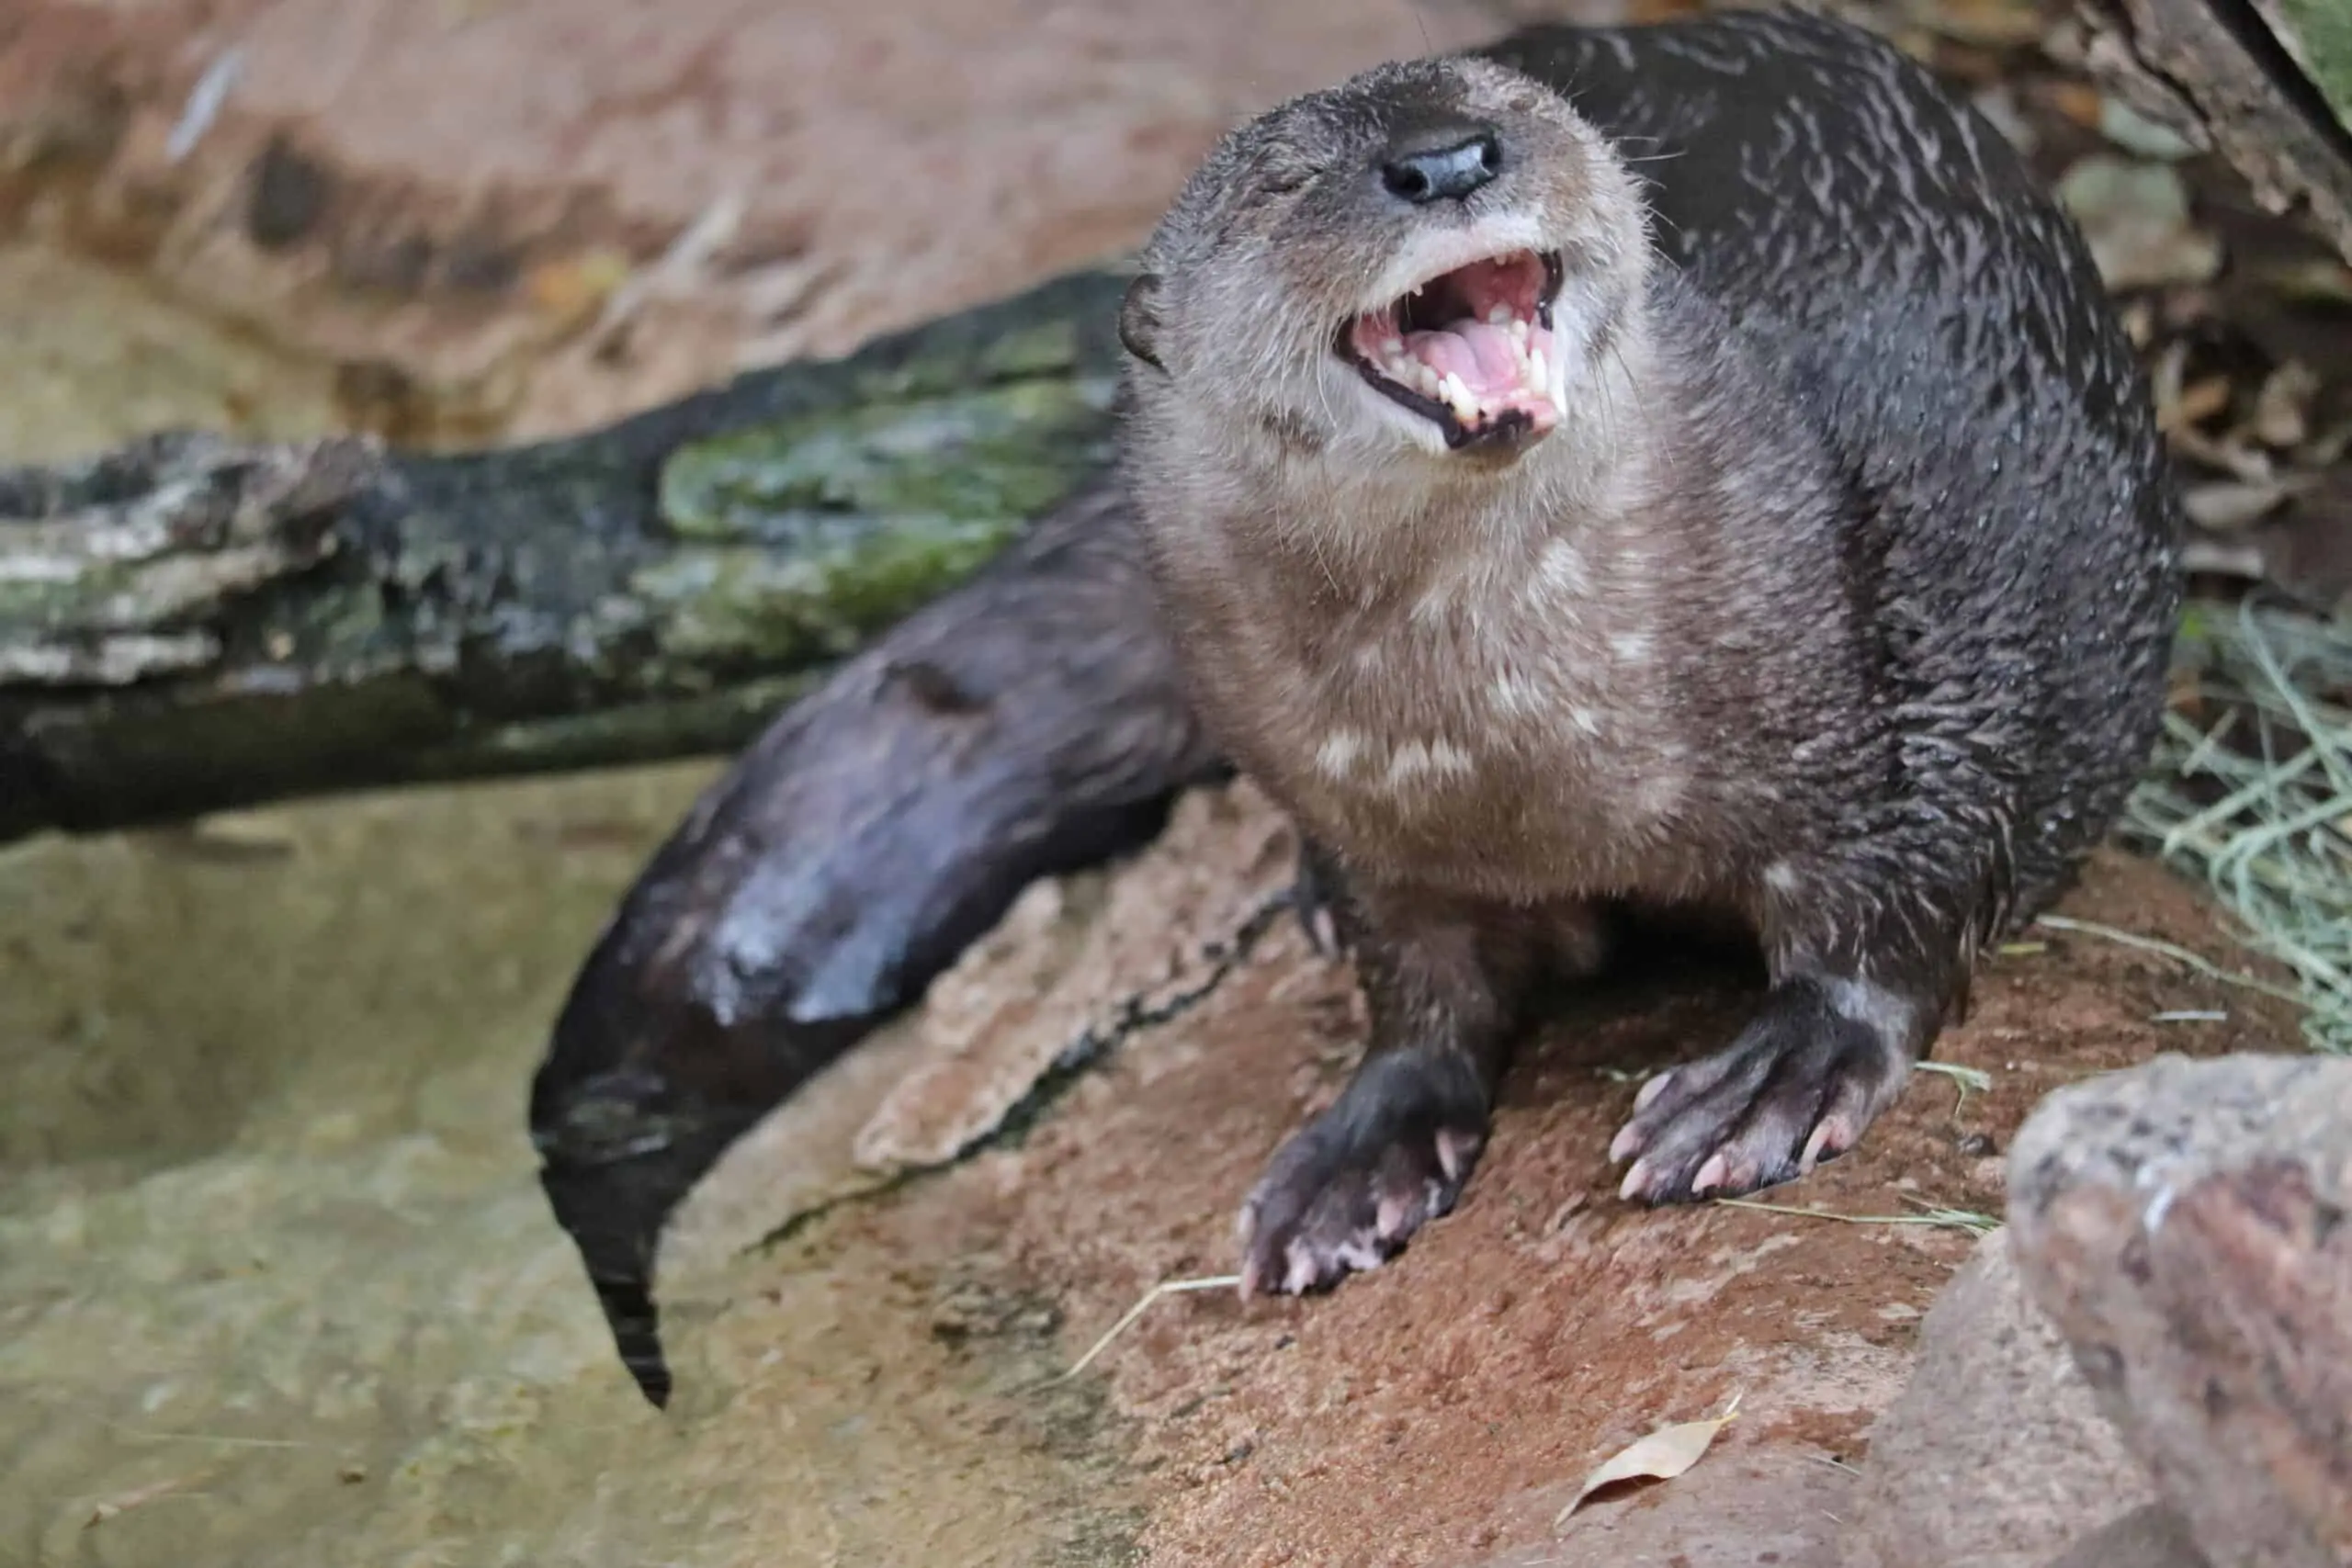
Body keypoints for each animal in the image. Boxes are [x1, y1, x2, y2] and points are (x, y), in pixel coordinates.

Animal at [1116, 15, 2178, 1295]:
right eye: (1283, 182)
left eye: (1511, 109)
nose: (1447, 160)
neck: (1505, 761)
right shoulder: (1368, 825)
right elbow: (1415, 983)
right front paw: (1364, 1148)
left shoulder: (1921, 657)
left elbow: (1914, 874)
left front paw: (1782, 1072)